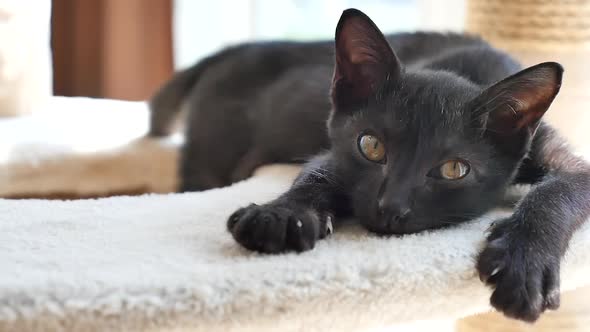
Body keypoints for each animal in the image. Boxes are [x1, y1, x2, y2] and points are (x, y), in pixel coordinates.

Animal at [154, 9, 590, 322]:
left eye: (454, 169)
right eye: (371, 146)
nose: (390, 208)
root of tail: (233, 51)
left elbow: (559, 189)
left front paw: (524, 262)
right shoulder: (334, 146)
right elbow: (319, 171)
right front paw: (281, 215)